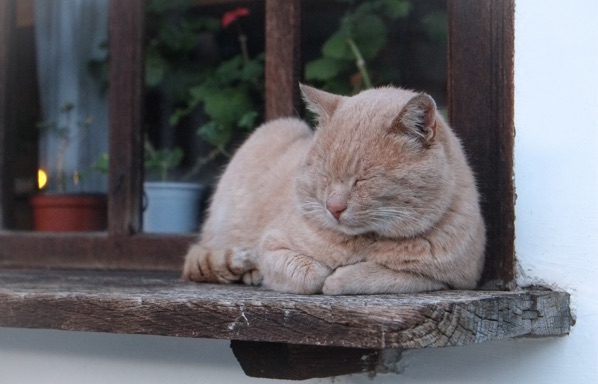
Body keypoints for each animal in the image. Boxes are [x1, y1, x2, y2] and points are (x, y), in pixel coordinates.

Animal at [183, 84, 488, 294]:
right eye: (325, 175)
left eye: (364, 179)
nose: (334, 207)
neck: (366, 241)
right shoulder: (272, 246)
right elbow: (309, 273)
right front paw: (323, 274)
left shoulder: (451, 280)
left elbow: (381, 276)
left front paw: (341, 277)